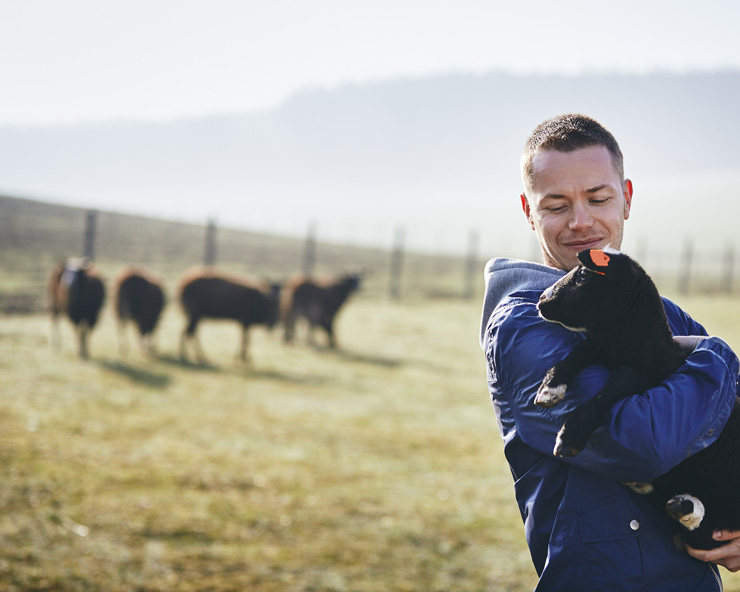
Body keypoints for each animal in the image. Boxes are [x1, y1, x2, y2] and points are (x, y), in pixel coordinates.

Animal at [536, 247, 740, 548]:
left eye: (583, 274)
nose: (541, 300)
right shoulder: (604, 348)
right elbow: (581, 351)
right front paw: (550, 388)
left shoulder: (642, 375)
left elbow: (614, 386)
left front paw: (570, 437)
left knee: (707, 535)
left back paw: (687, 509)